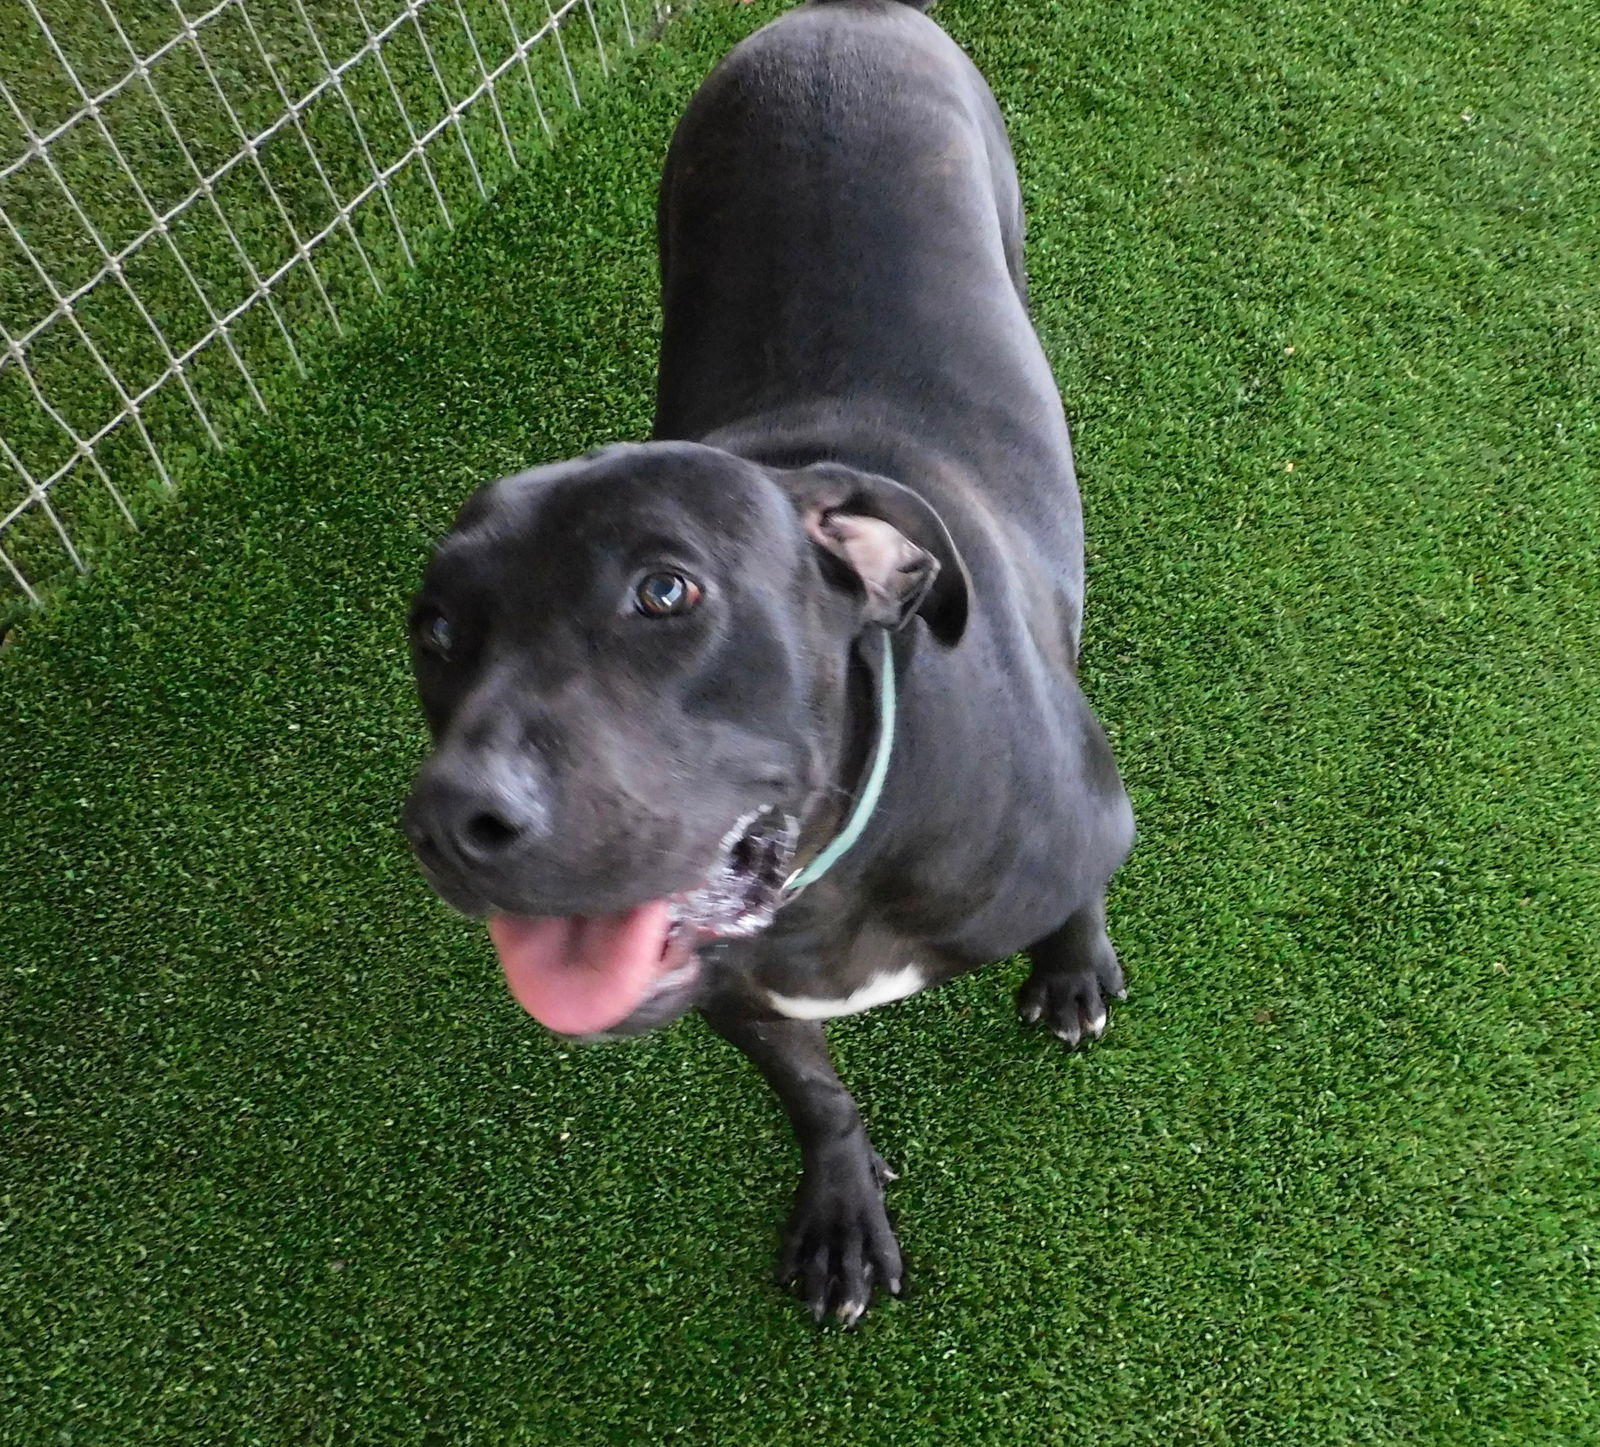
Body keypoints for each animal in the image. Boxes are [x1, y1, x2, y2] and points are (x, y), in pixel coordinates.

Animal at [412, 0, 1139, 1325]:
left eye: (665, 590)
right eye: (432, 630)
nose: (450, 821)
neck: (835, 867)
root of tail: (842, 17)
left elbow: (1076, 898)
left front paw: (1073, 972)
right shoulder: (736, 1001)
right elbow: (812, 1089)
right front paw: (842, 1204)